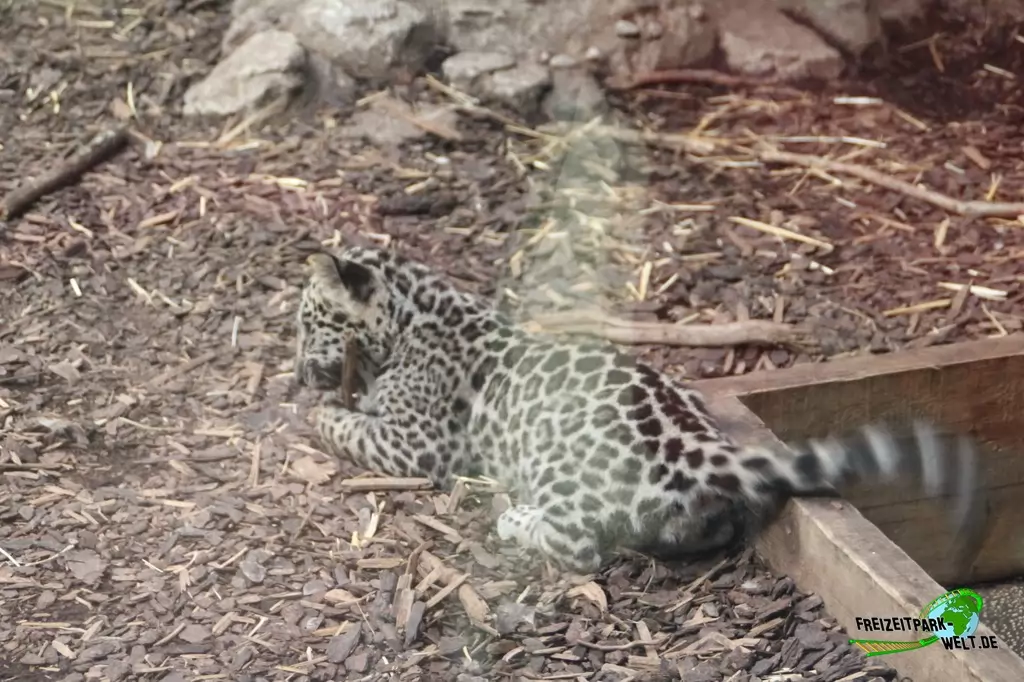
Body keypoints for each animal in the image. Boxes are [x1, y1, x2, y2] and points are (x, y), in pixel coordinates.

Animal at [294, 245, 988, 574]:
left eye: (308, 321)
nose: (298, 369)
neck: (415, 316)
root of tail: (707, 453)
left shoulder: (416, 441)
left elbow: (348, 426)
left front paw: (315, 411)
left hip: (556, 462)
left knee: (579, 548)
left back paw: (516, 519)